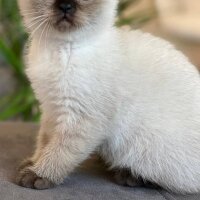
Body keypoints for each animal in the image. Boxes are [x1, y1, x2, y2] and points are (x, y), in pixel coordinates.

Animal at [16, 0, 200, 194]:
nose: (66, 6)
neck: (61, 48)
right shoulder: (51, 109)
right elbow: (44, 142)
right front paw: (32, 163)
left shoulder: (81, 119)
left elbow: (60, 152)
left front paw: (38, 174)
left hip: (149, 147)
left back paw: (128, 175)